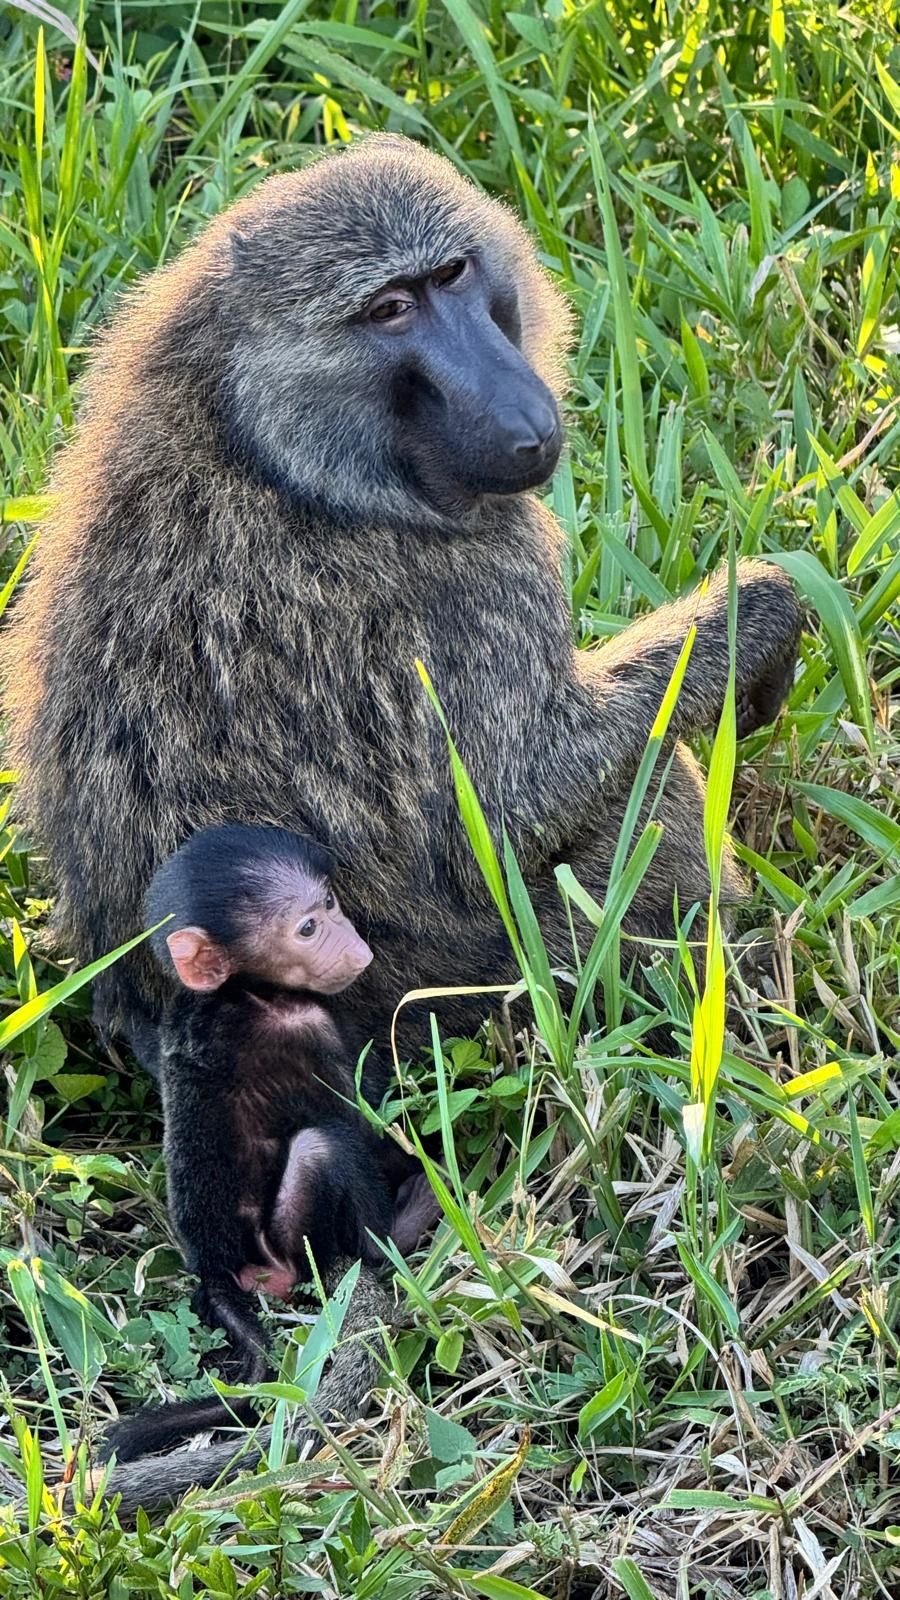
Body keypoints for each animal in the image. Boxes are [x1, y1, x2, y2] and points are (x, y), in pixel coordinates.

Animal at [2, 133, 802, 1081]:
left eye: (450, 275)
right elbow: (508, 809)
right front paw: (763, 618)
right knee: (651, 803)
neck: (258, 442)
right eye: (388, 310)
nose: (525, 422)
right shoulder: (480, 579)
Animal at [102, 823, 438, 1471]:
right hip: (287, 1244)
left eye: (329, 903)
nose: (355, 948)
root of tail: (215, 1268)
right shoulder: (306, 1030)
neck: (238, 993)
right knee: (323, 1147)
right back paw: (398, 1234)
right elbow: (358, 1119)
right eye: (305, 929)